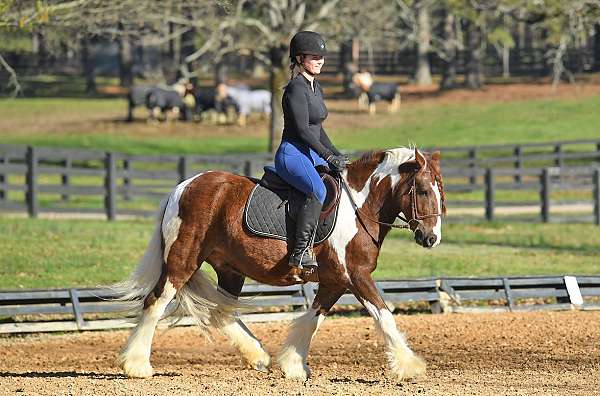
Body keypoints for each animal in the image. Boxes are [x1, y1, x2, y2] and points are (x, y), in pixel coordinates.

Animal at [113, 148, 446, 380]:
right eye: (423, 191)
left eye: (441, 192)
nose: (431, 238)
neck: (359, 206)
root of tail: (182, 187)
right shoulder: (356, 275)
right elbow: (384, 316)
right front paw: (411, 367)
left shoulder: (335, 281)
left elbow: (313, 319)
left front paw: (294, 365)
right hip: (182, 261)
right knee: (155, 302)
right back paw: (137, 366)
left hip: (229, 269)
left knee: (221, 312)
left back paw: (257, 356)